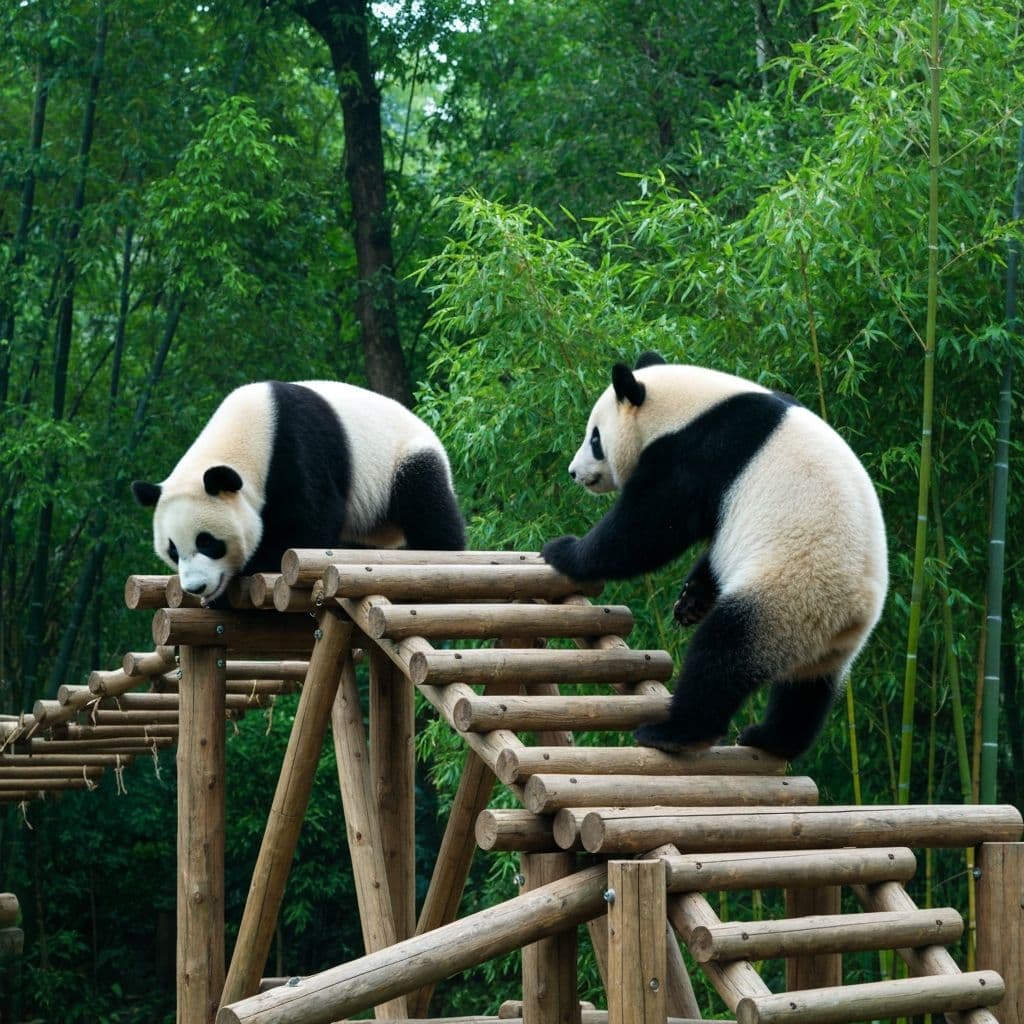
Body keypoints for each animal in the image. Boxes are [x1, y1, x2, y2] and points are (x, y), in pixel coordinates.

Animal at [132, 380, 466, 606]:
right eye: (173, 550)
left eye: (208, 542)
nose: (195, 587)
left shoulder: (297, 449)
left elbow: (308, 524)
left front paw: (250, 568)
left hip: (402, 460)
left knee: (427, 504)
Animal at [542, 352, 888, 761]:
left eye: (595, 438)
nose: (574, 472)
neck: (692, 407)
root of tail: (849, 614)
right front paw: (690, 601)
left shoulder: (702, 453)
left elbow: (648, 526)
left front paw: (564, 551)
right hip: (831, 645)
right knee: (806, 694)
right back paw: (771, 739)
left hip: (788, 594)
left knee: (721, 655)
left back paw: (675, 732)